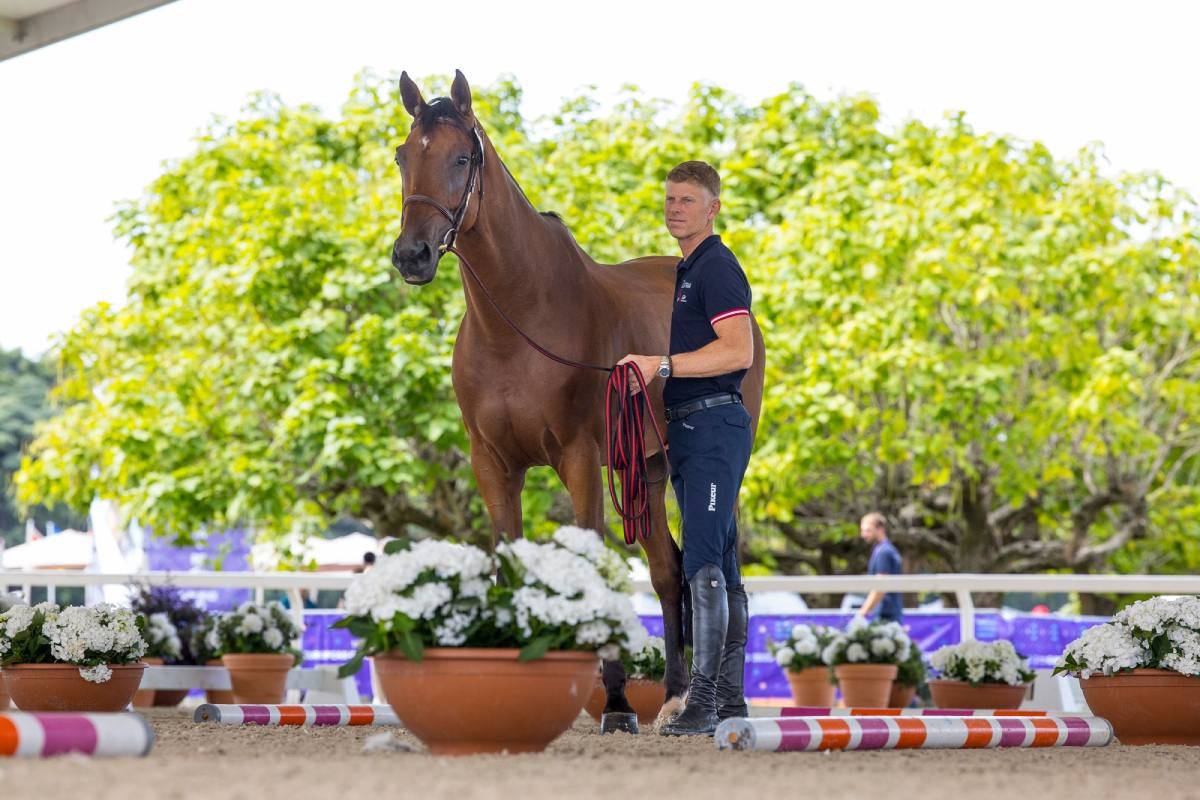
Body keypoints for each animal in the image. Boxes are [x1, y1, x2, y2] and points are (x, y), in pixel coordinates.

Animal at [393, 71, 768, 729]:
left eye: (461, 157)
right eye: (402, 156)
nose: (411, 255)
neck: (518, 318)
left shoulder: (578, 460)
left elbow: (593, 568)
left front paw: (615, 702)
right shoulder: (494, 465)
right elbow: (509, 562)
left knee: (715, 571)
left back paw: (713, 706)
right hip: (647, 469)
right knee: (668, 570)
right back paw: (673, 696)